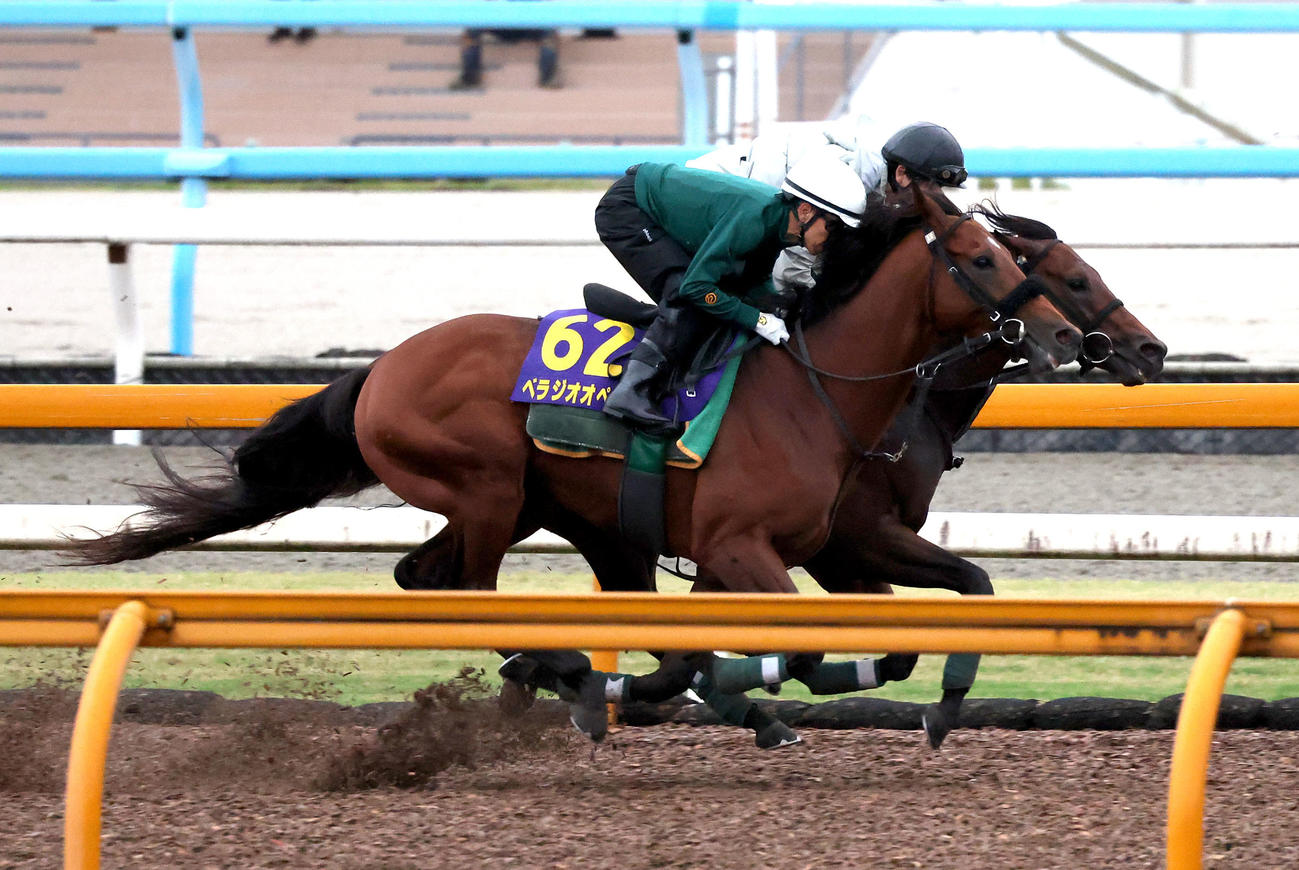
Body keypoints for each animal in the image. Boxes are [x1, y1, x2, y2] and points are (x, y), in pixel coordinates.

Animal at [66, 184, 1083, 742]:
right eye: (979, 258)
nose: (1066, 336)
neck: (811, 388)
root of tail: (381, 368)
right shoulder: (741, 547)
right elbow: (790, 646)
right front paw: (728, 693)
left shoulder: (788, 551)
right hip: (484, 487)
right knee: (468, 593)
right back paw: (562, 670)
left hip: (550, 509)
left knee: (422, 576)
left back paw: (570, 676)